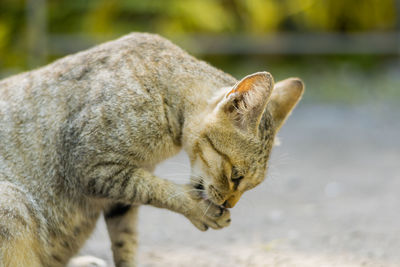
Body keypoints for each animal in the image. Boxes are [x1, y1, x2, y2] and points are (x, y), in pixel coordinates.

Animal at [0, 32, 304, 266]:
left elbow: (127, 241)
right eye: (236, 176)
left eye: (252, 185)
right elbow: (158, 190)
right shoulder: (91, 166)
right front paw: (198, 209)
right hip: (13, 201)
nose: (230, 203)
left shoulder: (119, 198)